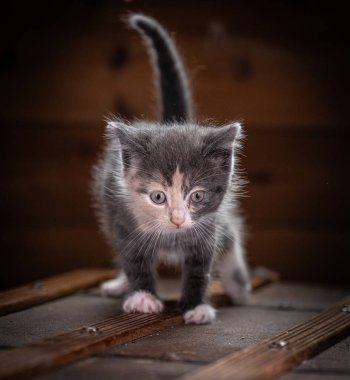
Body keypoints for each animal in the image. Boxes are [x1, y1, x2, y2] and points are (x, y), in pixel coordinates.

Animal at [93, 14, 250, 324]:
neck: (171, 235)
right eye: (158, 197)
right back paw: (121, 284)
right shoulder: (124, 221)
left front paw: (196, 305)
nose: (177, 219)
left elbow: (200, 269)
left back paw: (237, 285)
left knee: (231, 236)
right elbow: (134, 260)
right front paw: (142, 296)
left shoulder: (207, 228)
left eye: (197, 196)